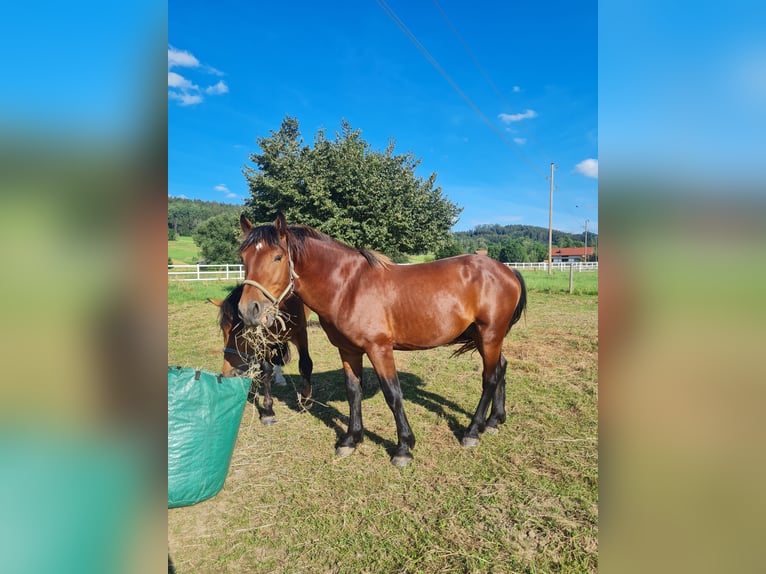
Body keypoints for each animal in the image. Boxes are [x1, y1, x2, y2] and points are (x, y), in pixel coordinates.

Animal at [208, 284, 314, 428]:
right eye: (224, 330)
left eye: (248, 333)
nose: (229, 374)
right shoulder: (264, 342)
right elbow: (266, 371)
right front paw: (268, 411)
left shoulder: (300, 332)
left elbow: (305, 364)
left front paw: (305, 401)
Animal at [240, 214, 528, 466]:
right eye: (243, 258)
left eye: (277, 257)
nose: (248, 310)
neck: (348, 287)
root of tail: (507, 270)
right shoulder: (348, 351)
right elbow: (353, 392)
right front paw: (351, 439)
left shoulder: (379, 349)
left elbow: (393, 394)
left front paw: (403, 447)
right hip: (484, 338)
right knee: (501, 368)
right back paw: (494, 421)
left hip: (489, 335)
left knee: (489, 378)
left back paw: (472, 431)